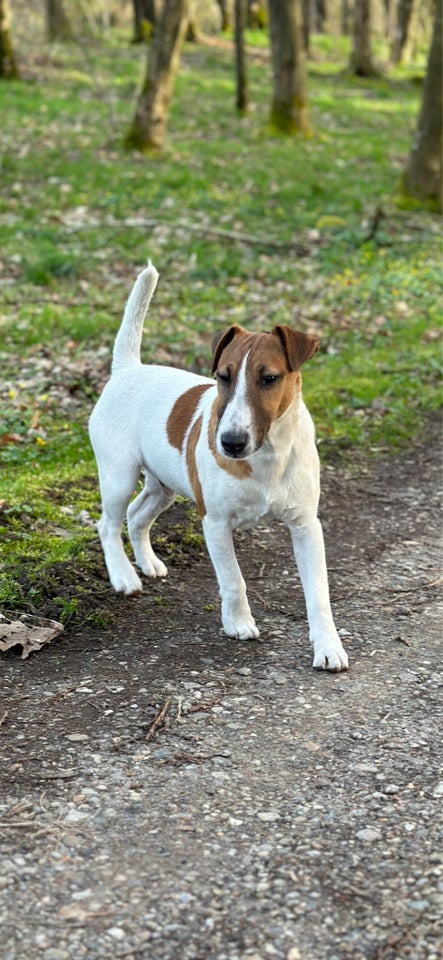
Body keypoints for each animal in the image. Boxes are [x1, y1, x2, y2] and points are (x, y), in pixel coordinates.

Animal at [88, 258, 348, 672]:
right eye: (222, 377)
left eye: (269, 378)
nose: (230, 443)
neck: (266, 455)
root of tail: (127, 370)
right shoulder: (215, 523)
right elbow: (233, 579)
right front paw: (238, 624)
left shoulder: (306, 525)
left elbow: (318, 592)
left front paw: (328, 646)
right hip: (118, 475)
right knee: (108, 523)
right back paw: (124, 577)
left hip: (163, 486)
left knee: (137, 516)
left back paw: (148, 562)